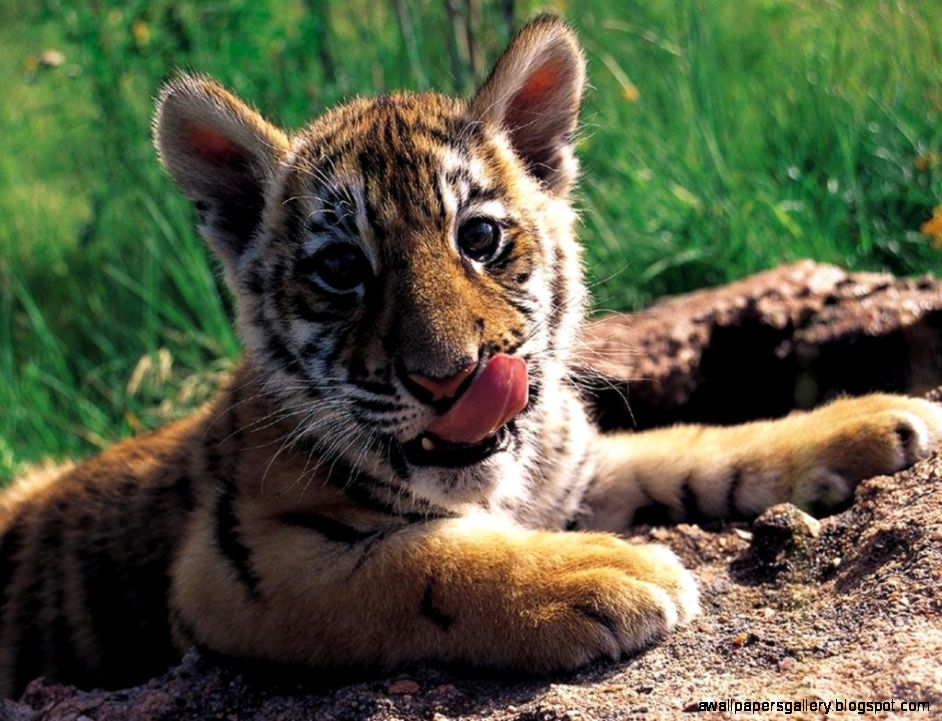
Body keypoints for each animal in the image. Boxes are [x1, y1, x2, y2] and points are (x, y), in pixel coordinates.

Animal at [1, 15, 941, 699]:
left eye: (479, 237)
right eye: (341, 270)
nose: (449, 377)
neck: (503, 481)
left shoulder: (575, 466)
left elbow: (698, 445)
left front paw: (879, 420)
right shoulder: (239, 567)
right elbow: (420, 560)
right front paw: (605, 570)